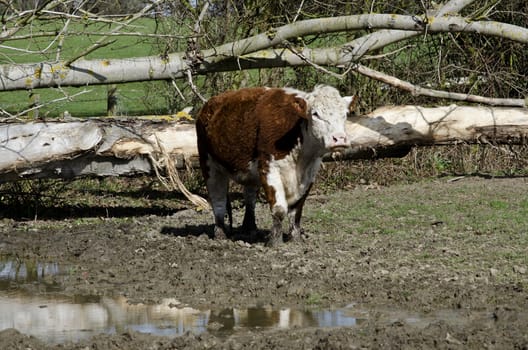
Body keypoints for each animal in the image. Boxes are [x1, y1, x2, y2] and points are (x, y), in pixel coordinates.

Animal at [196, 85, 352, 246]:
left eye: (345, 114)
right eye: (315, 114)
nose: (340, 138)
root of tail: (209, 104)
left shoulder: (310, 172)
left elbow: (297, 209)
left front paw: (295, 238)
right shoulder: (269, 168)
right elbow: (279, 209)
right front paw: (275, 241)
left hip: (249, 173)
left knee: (250, 197)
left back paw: (250, 228)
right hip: (209, 164)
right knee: (218, 199)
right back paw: (220, 233)